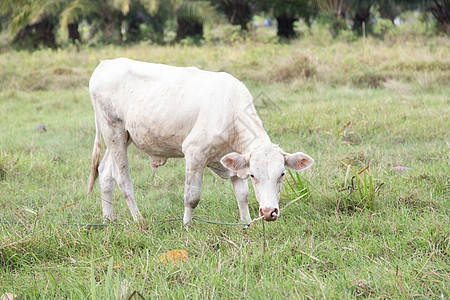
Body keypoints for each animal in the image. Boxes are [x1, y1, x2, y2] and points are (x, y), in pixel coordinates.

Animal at [87, 58, 312, 225]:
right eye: (253, 175)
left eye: (282, 174)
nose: (268, 212)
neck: (231, 113)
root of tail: (105, 64)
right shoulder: (194, 153)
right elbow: (192, 197)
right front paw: (186, 226)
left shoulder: (233, 160)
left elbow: (242, 195)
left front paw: (246, 223)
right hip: (113, 131)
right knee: (123, 179)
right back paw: (138, 219)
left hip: (122, 136)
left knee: (105, 172)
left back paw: (107, 219)